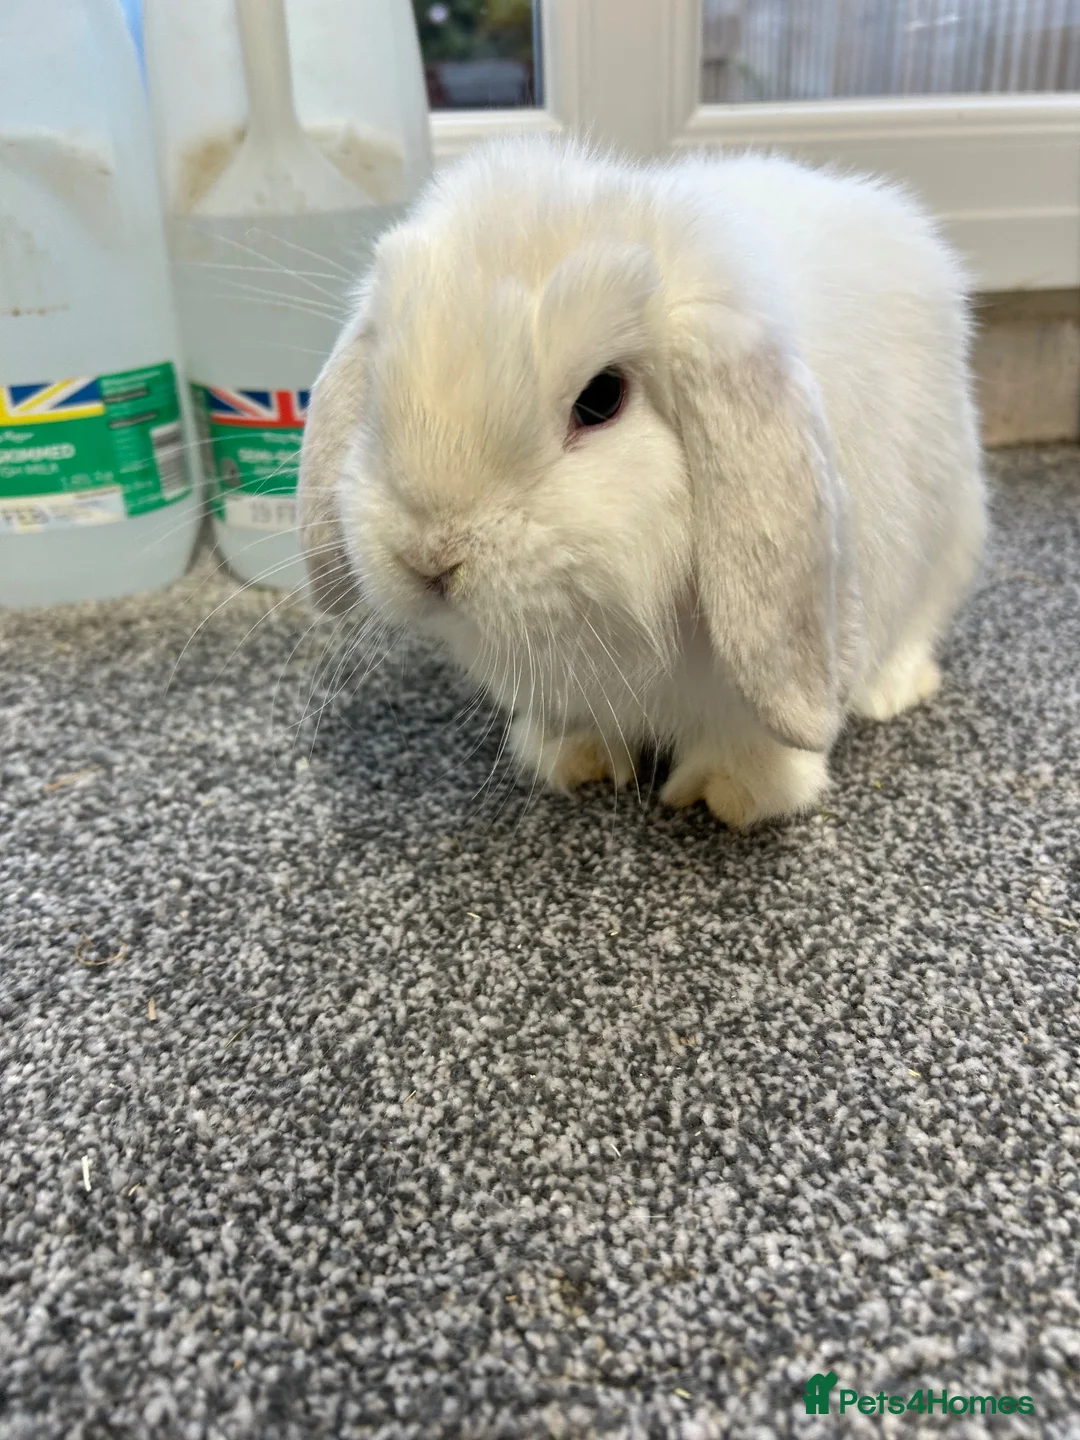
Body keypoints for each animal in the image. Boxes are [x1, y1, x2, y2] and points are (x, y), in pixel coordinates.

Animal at [297, 135, 986, 828]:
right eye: (378, 382)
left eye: (601, 398)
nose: (429, 558)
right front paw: (575, 759)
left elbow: (754, 744)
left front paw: (728, 795)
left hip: (945, 539)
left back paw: (890, 691)